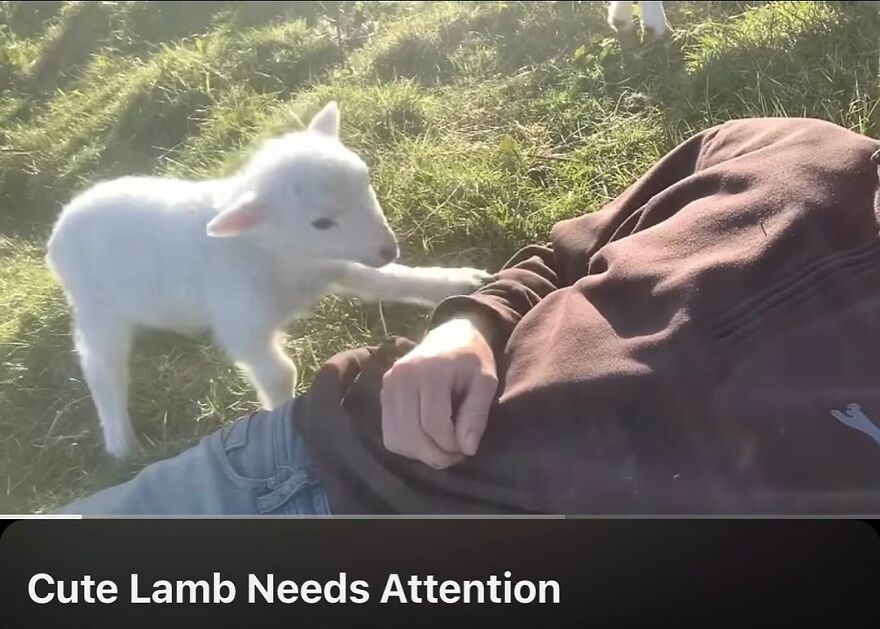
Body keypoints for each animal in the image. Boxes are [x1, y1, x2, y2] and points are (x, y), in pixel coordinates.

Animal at [46, 100, 496, 458]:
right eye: (321, 222)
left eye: (365, 180)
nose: (388, 249)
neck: (275, 254)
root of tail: (60, 226)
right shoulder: (242, 321)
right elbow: (279, 373)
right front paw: (281, 420)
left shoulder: (334, 265)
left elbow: (390, 281)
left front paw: (455, 283)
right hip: (99, 311)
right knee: (100, 365)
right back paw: (119, 439)